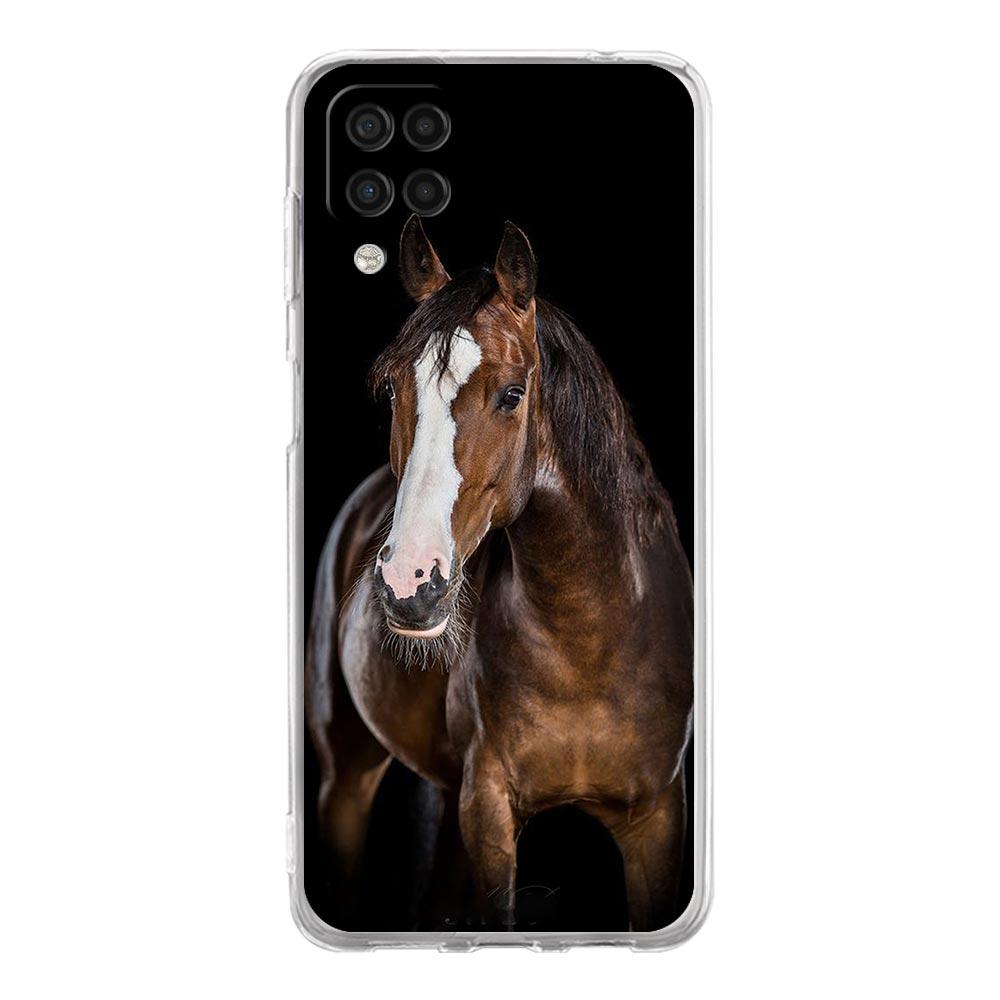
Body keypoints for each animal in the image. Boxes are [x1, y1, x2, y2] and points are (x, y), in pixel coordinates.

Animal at [306, 216, 693, 931]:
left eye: (513, 394)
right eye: (394, 389)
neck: (586, 645)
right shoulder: (486, 810)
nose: (410, 583)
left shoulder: (658, 819)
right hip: (346, 779)